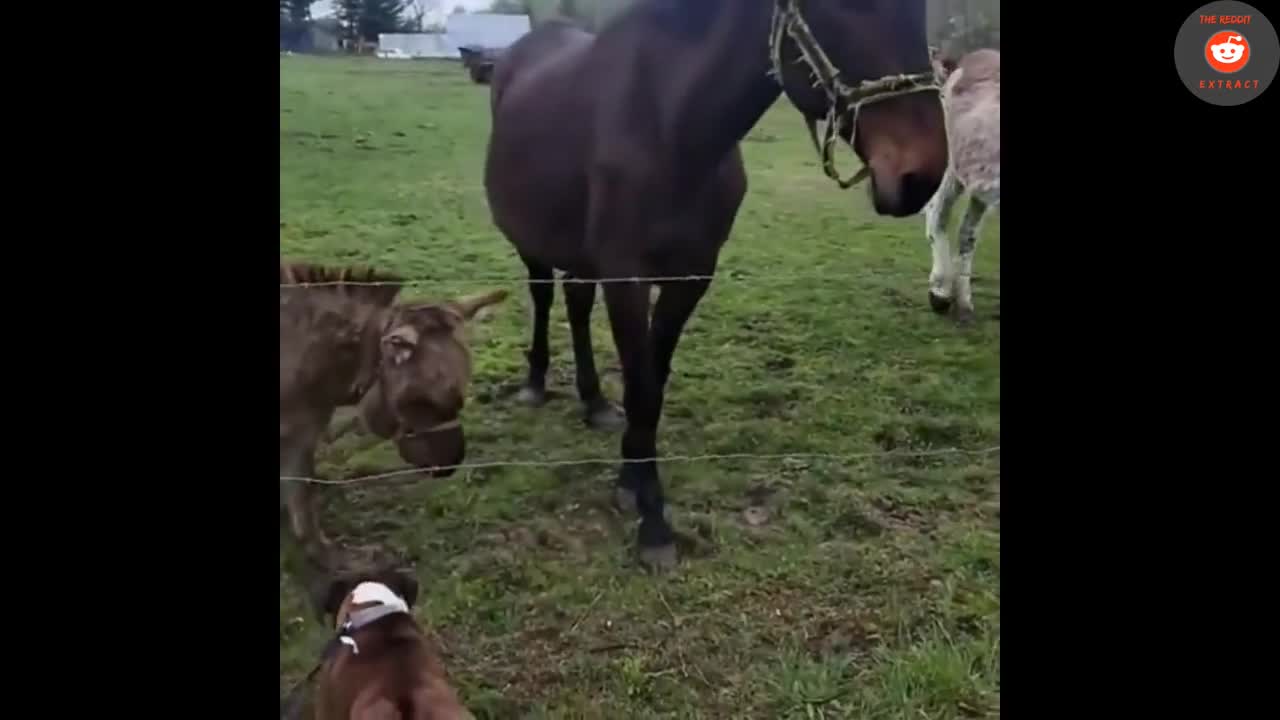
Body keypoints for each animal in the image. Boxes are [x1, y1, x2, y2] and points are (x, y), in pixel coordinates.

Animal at [483, 1, 947, 571]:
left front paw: (631, 477)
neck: (669, 123)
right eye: (842, 6)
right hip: (533, 239)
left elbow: (653, 383)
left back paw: (594, 403)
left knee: (575, 300)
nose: (922, 174)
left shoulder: (691, 275)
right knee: (545, 295)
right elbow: (641, 384)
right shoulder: (627, 276)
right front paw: (653, 523)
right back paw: (534, 384)